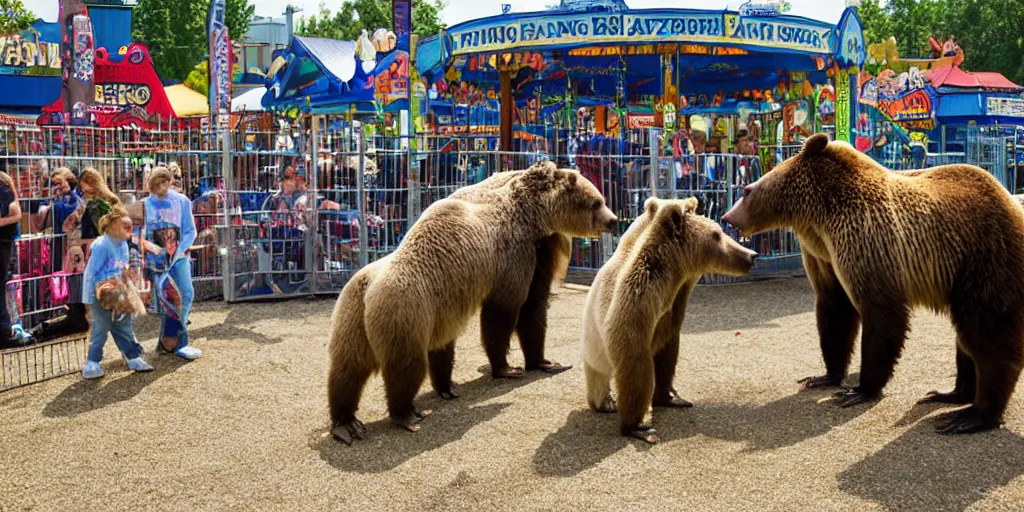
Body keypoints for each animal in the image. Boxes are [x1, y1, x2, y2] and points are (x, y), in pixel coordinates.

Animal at [327, 162, 614, 444]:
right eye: (596, 202)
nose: (612, 220)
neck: (533, 215)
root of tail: (369, 293)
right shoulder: (513, 255)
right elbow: (505, 312)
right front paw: (508, 368)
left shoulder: (538, 252)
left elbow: (534, 308)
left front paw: (545, 361)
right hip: (405, 310)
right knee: (406, 365)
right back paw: (408, 415)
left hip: (352, 317)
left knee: (347, 370)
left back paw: (348, 423)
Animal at [581, 195, 757, 444]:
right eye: (716, 234)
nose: (751, 255)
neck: (673, 276)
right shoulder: (636, 300)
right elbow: (634, 356)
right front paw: (639, 425)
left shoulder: (674, 307)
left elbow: (667, 353)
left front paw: (673, 397)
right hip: (594, 352)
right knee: (598, 381)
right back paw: (607, 402)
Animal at [720, 134, 1024, 434]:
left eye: (746, 189)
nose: (726, 217)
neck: (816, 215)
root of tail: (1011, 200)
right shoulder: (822, 254)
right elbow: (835, 310)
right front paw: (824, 376)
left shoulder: (867, 242)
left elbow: (882, 315)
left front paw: (859, 390)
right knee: (967, 337)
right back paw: (950, 394)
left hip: (985, 257)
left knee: (986, 332)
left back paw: (973, 415)